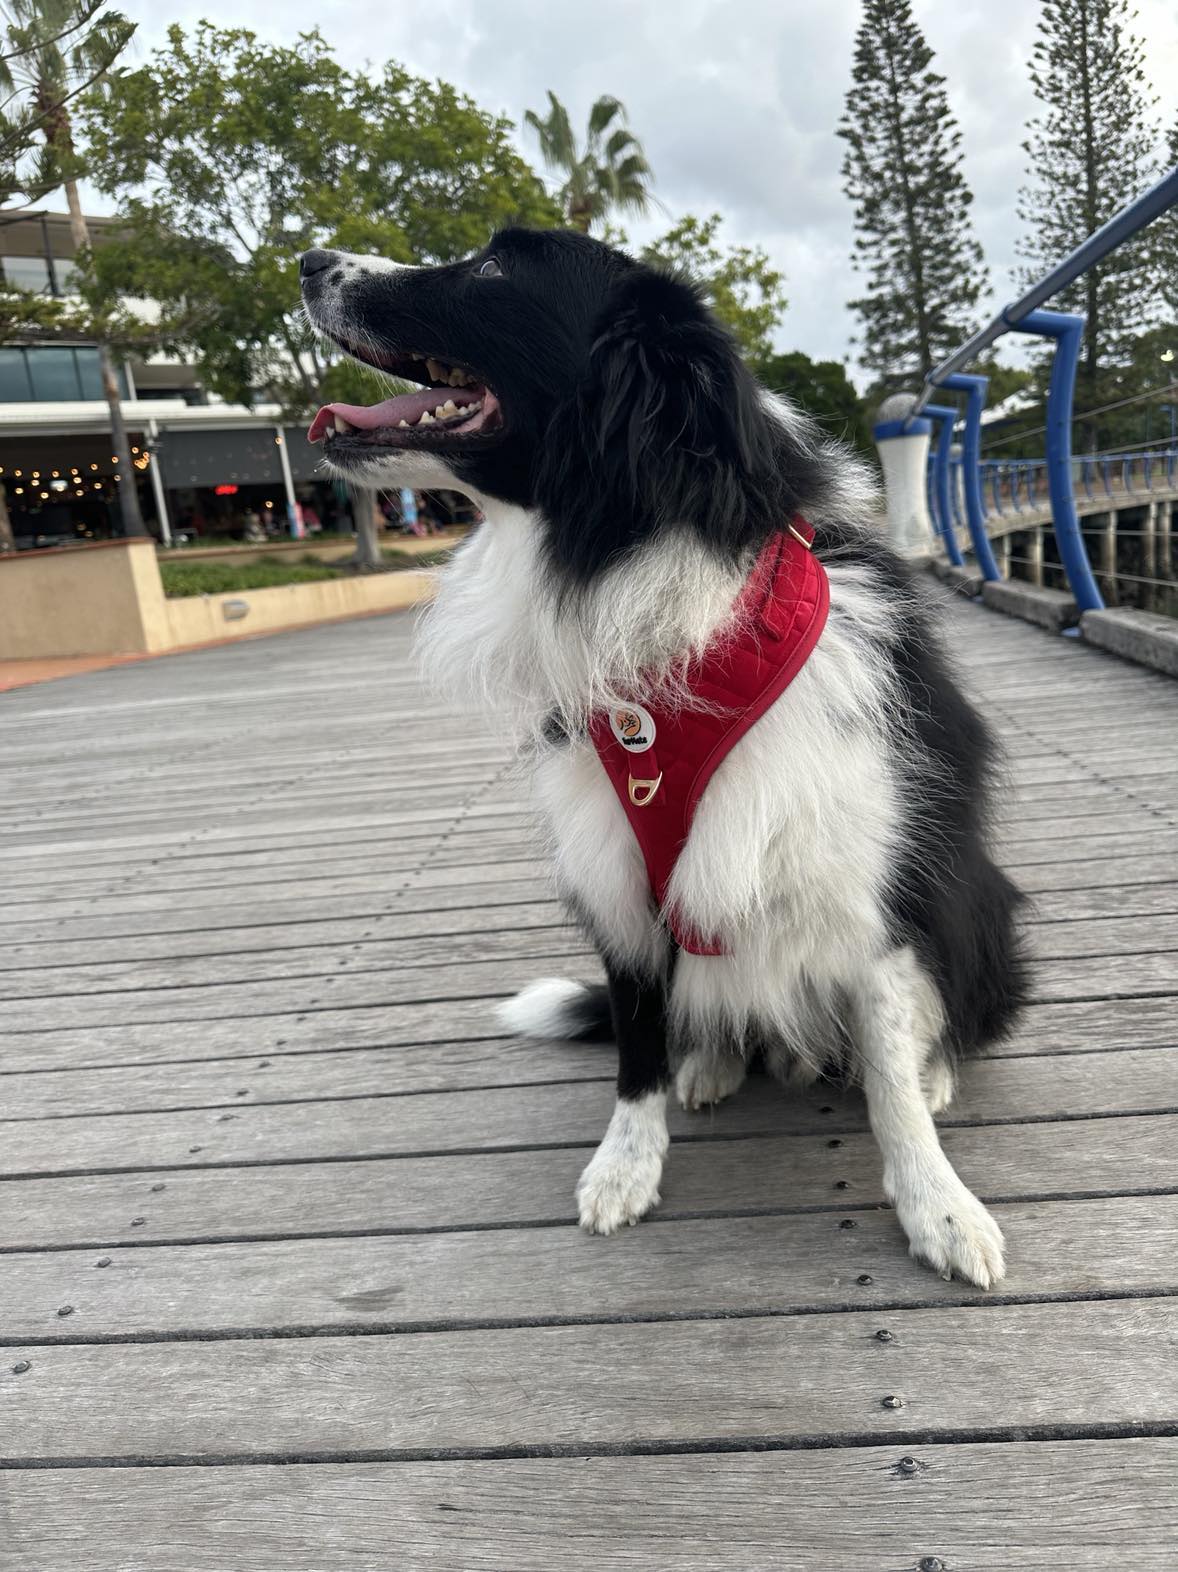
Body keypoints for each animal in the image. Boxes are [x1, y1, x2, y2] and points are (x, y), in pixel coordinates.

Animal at [303, 227, 1031, 1282]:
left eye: (495, 266)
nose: (309, 261)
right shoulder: (615, 866)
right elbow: (637, 1041)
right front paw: (625, 1164)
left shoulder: (864, 883)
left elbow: (888, 1072)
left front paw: (937, 1203)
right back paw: (716, 1061)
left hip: (978, 899)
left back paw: (929, 1070)